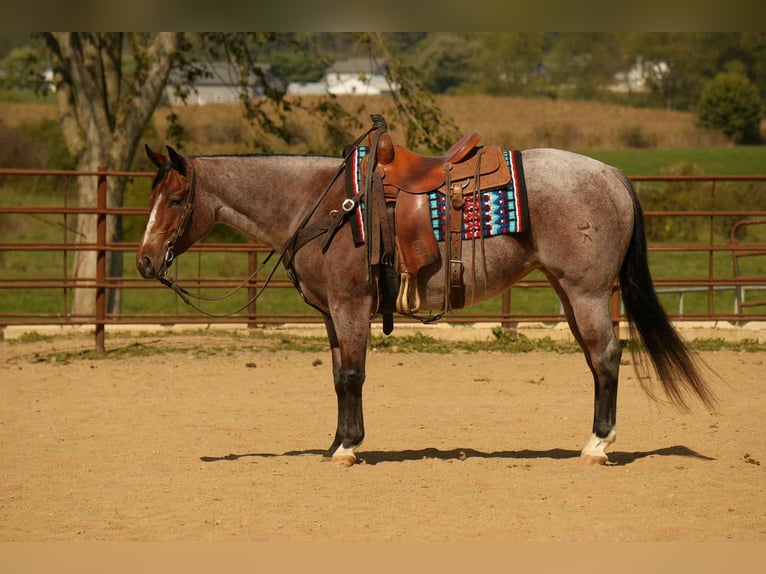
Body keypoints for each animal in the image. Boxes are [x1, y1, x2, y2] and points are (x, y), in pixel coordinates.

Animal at [136, 140, 716, 467]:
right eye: (152, 196)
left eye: (176, 198)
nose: (143, 261)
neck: (325, 206)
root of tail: (612, 175)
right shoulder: (331, 315)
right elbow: (338, 377)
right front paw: (335, 443)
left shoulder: (350, 306)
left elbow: (353, 375)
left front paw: (349, 448)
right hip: (568, 292)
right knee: (598, 361)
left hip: (587, 291)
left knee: (607, 358)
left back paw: (597, 446)